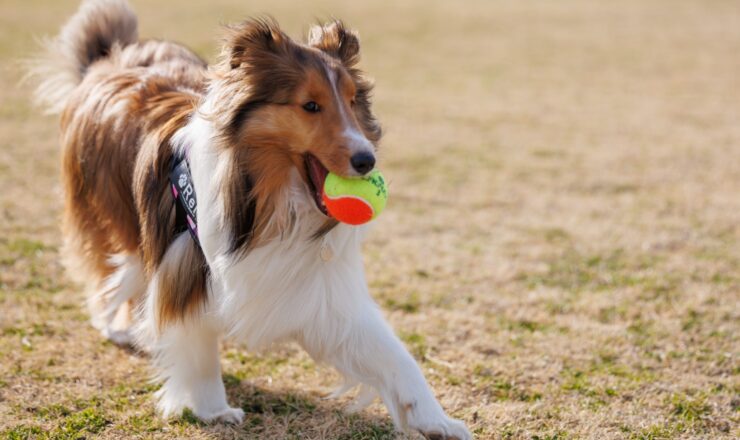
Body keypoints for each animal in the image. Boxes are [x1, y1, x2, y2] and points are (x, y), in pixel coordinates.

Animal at [31, 1, 472, 438]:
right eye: (310, 106)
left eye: (351, 101)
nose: (367, 161)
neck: (271, 204)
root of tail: (108, 58)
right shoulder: (184, 266)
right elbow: (199, 350)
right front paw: (211, 409)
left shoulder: (322, 292)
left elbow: (395, 357)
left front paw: (437, 421)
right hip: (111, 214)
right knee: (111, 268)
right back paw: (117, 326)